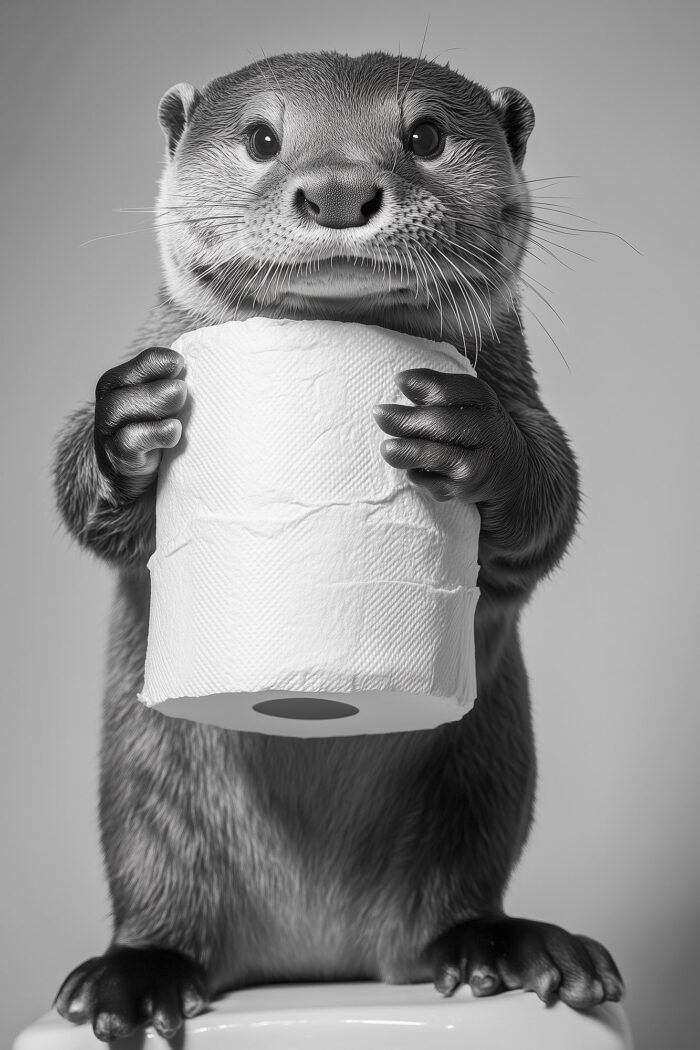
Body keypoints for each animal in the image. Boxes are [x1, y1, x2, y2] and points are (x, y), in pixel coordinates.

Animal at [51, 50, 624, 1042]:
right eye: (262, 138)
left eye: (425, 134)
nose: (339, 188)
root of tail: (317, 952)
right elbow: (83, 509)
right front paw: (124, 420)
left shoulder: (523, 398)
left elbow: (550, 508)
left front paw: (474, 437)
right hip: (149, 806)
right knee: (161, 901)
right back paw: (133, 978)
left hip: (478, 791)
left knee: (453, 905)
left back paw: (511, 949)